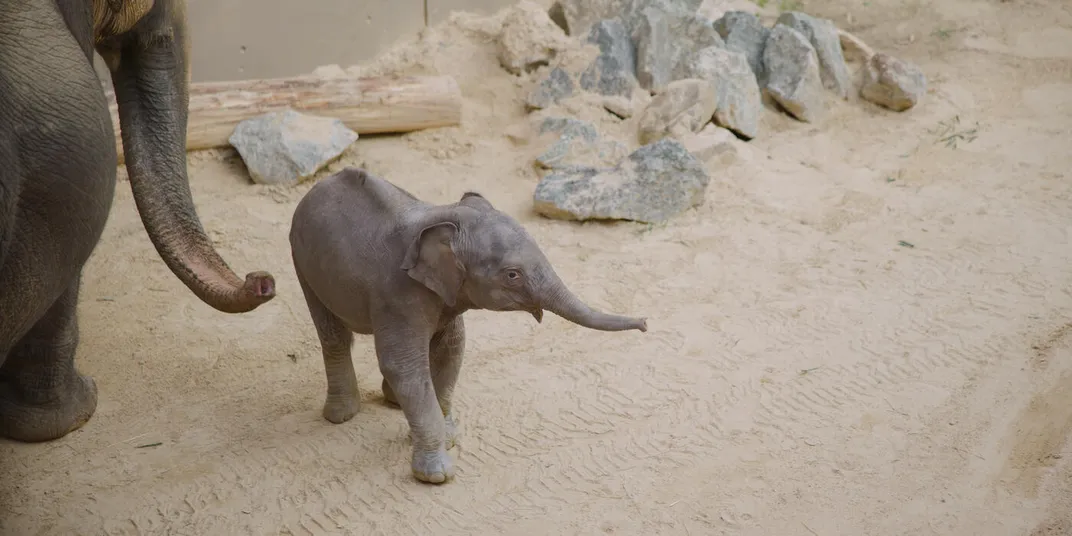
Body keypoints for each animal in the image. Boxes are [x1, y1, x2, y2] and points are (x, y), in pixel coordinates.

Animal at [288, 166, 648, 484]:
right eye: (512, 275)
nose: (645, 322)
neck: (444, 214)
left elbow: (452, 349)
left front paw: (450, 437)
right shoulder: (397, 291)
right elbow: (402, 365)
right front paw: (437, 475)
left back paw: (392, 402)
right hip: (301, 260)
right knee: (333, 335)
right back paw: (342, 415)